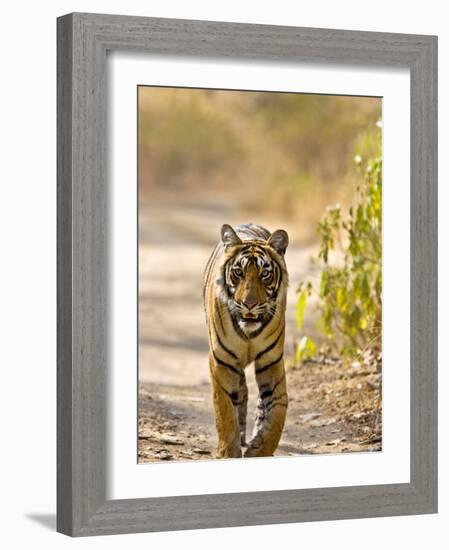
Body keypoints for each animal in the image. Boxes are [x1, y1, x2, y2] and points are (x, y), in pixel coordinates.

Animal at [202, 224, 288, 462]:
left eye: (264, 274)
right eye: (238, 273)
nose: (249, 304)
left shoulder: (271, 362)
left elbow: (278, 409)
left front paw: (259, 450)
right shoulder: (222, 361)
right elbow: (224, 409)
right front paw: (228, 453)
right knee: (240, 393)